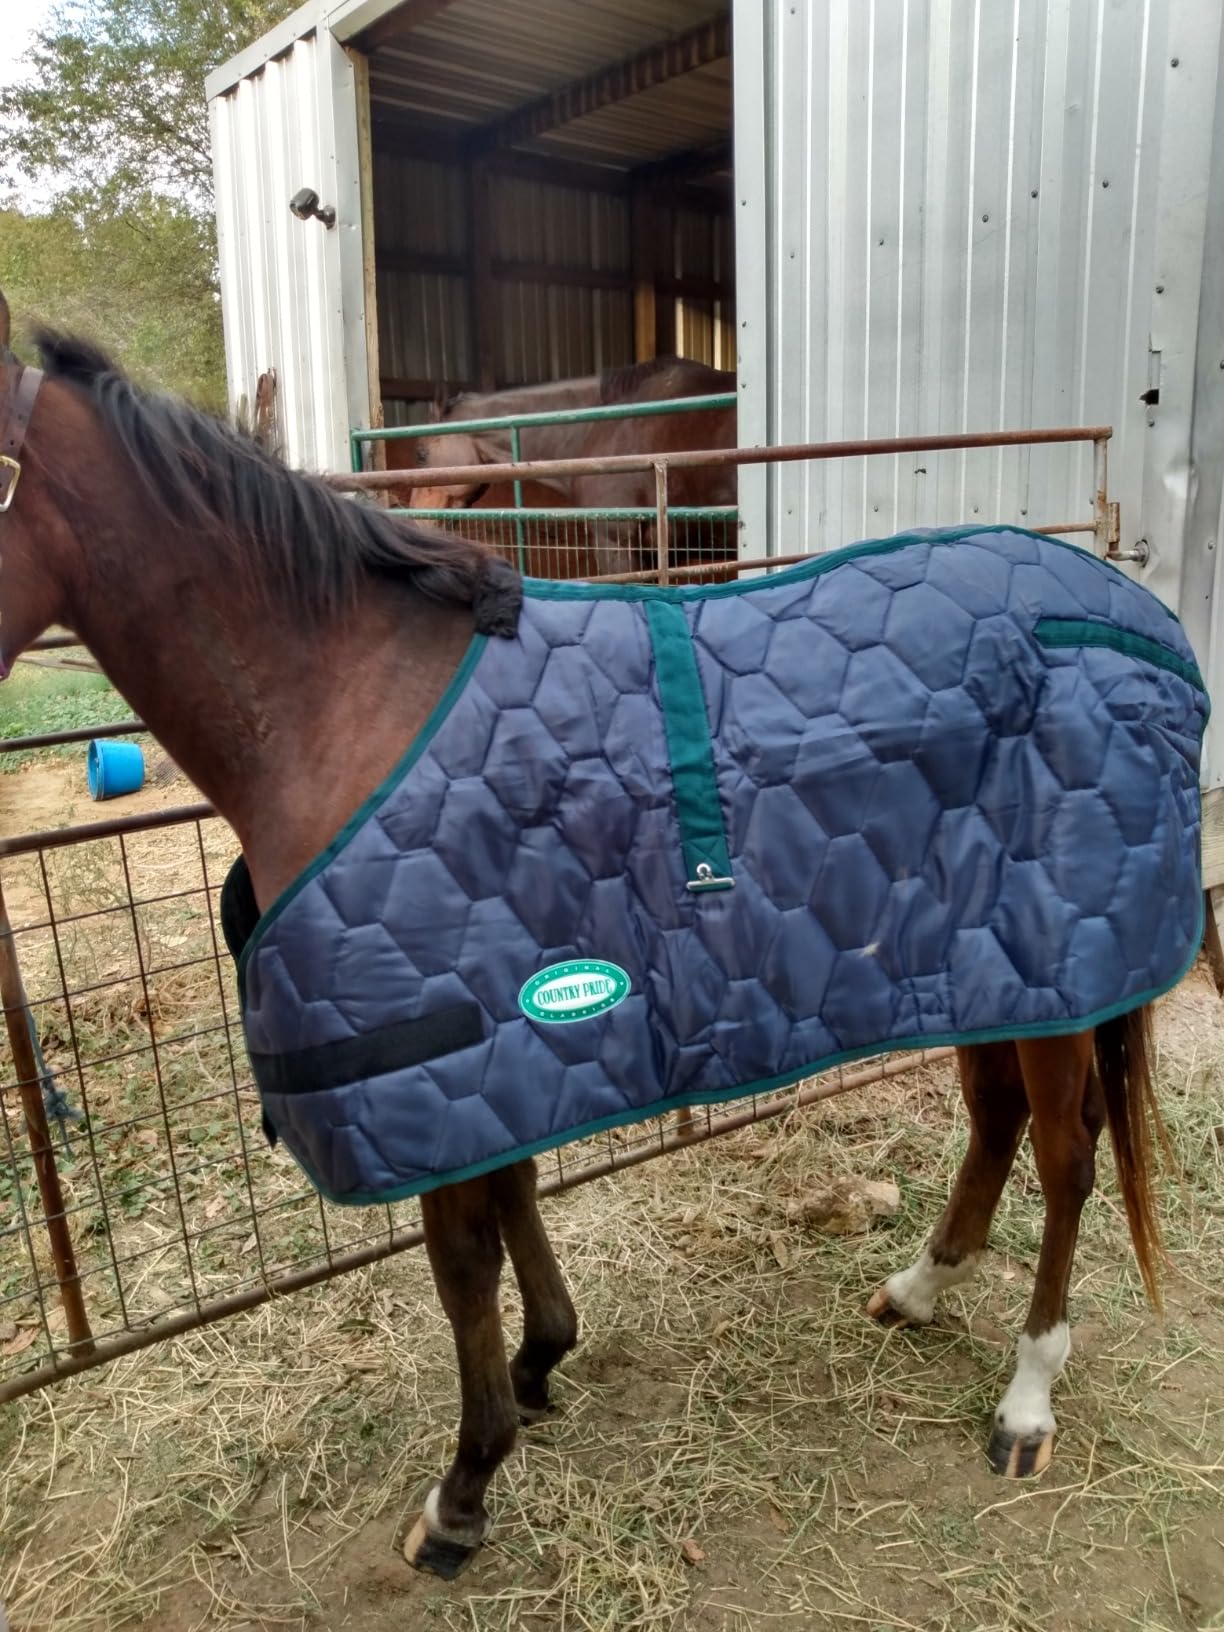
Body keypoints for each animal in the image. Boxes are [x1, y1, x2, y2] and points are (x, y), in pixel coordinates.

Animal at [0, 291, 1190, 1582]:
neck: (347, 704)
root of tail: (1138, 617)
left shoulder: (444, 1061)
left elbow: (462, 1266)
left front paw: (464, 1491)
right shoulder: (501, 1047)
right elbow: (516, 1203)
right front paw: (541, 1362)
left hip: (1063, 960)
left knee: (1068, 1159)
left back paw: (1025, 1401)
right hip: (989, 964)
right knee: (999, 1119)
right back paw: (919, 1288)